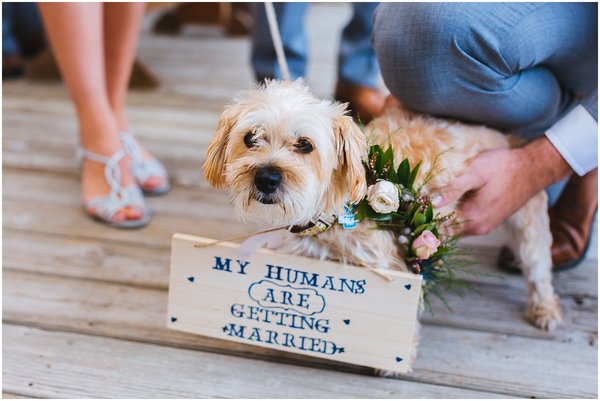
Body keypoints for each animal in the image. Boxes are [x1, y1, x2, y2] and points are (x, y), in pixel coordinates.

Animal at [203, 79, 564, 374]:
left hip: (528, 223)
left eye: (305, 144)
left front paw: (395, 361)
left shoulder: (395, 271)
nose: (266, 177)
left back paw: (545, 309)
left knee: (538, 269)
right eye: (251, 138)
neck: (330, 214)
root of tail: (509, 136)